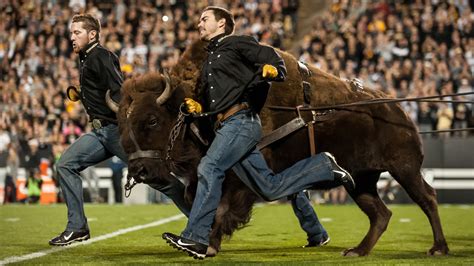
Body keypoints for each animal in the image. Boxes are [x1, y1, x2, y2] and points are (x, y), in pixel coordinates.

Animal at [117, 40, 448, 256]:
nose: (139, 170)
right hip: (362, 181)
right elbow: (205, 201)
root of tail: (401, 111)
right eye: (122, 124)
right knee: (381, 213)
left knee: (428, 199)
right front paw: (199, 241)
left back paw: (438, 248)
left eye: (152, 120)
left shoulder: (238, 178)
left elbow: (221, 207)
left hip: (404, 170)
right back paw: (357, 250)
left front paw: (206, 244)